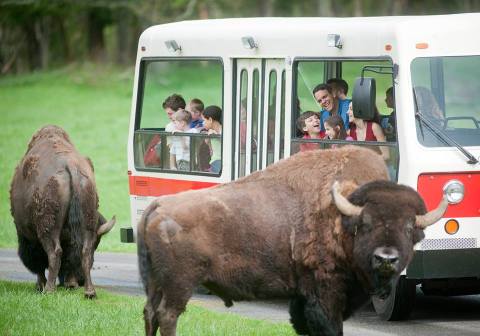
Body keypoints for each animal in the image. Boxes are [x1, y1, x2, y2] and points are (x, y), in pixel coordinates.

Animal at [9, 124, 116, 298]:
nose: (79, 281)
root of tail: (70, 166)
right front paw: (70, 283)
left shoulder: (28, 234)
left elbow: (38, 262)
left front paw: (40, 285)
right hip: (87, 222)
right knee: (83, 252)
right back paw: (89, 292)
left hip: (47, 229)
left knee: (54, 253)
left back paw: (49, 290)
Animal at [137, 147, 448, 336]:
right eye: (366, 224)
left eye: (409, 227)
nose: (386, 258)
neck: (342, 219)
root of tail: (157, 206)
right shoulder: (325, 294)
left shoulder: (302, 297)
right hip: (180, 284)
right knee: (168, 315)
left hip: (154, 283)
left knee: (150, 313)